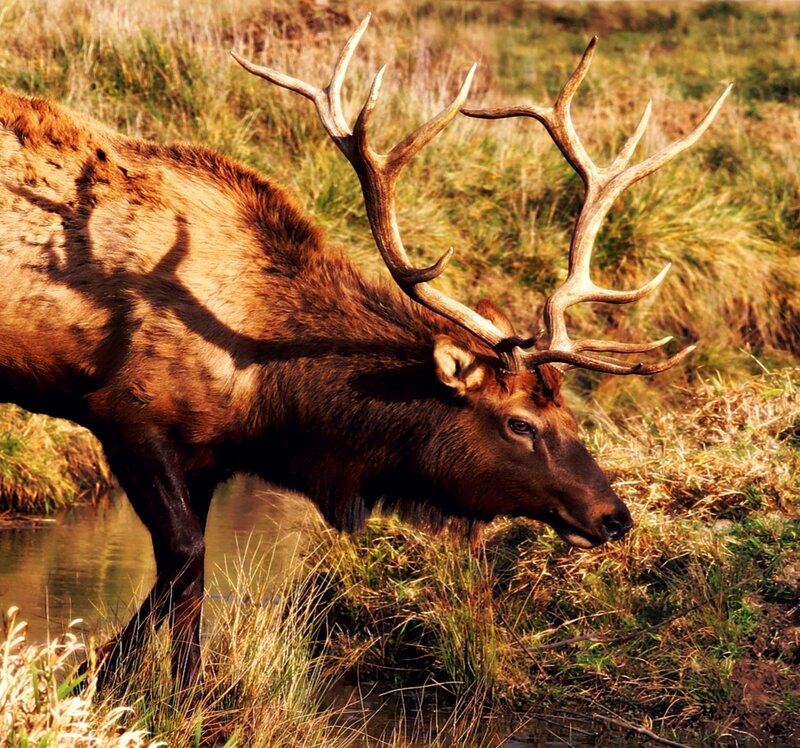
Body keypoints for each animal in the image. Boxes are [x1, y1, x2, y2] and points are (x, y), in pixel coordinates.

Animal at [0, 15, 730, 689]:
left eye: (575, 417)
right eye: (520, 423)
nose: (615, 517)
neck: (266, 392)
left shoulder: (210, 454)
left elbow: (183, 578)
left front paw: (138, 684)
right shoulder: (127, 412)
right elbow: (185, 558)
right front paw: (138, 687)